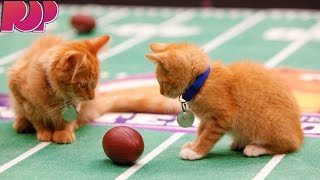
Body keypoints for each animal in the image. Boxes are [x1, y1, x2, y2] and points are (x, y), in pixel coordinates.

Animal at [146, 42, 304, 160]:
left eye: (161, 82)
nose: (161, 93)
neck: (201, 82)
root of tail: (299, 133)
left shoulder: (221, 118)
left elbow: (206, 137)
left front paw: (195, 151)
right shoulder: (206, 119)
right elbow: (200, 132)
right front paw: (193, 145)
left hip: (266, 122)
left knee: (289, 145)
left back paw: (256, 148)